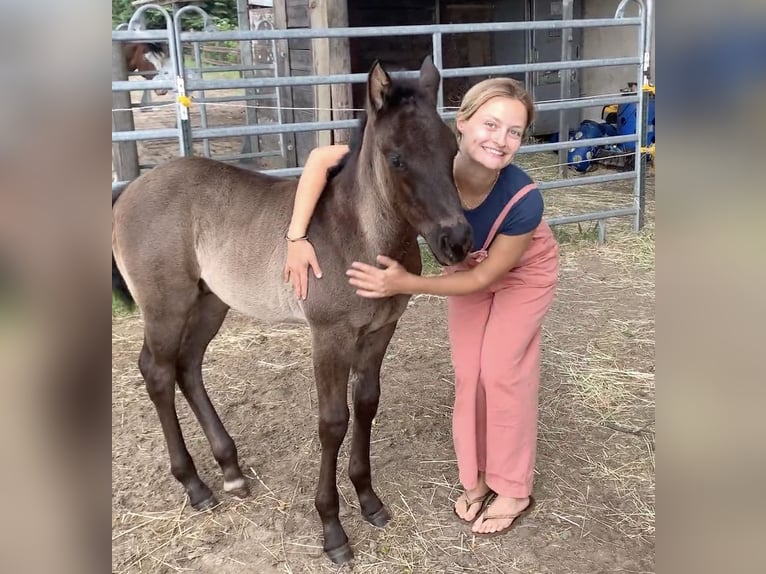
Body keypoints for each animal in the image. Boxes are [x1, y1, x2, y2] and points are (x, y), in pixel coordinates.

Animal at [112, 55, 474, 568]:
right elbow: (333, 422)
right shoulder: (329, 337)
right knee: (158, 372)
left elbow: (366, 404)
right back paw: (195, 485)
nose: (456, 241)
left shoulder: (380, 330)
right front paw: (332, 529)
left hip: (210, 302)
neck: (359, 237)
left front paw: (369, 500)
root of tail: (129, 190)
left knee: (188, 366)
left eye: (451, 150)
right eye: (396, 157)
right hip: (167, 305)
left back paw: (231, 469)